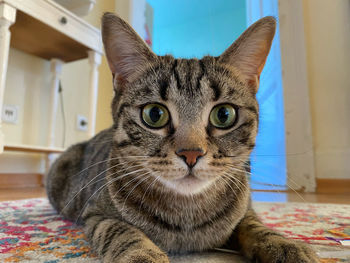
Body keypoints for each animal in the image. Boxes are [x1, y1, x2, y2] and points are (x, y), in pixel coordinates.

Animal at [47, 12, 320, 263]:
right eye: (154, 114)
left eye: (224, 114)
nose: (191, 153)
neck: (186, 217)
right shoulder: (97, 214)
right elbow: (122, 231)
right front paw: (142, 255)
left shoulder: (246, 211)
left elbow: (255, 225)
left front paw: (285, 244)